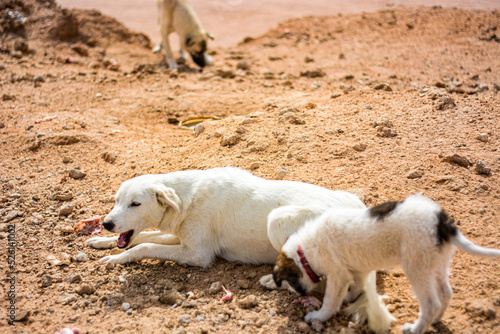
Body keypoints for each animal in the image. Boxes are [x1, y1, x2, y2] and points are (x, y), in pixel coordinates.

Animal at [88, 168, 394, 332]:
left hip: (279, 221)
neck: (186, 198)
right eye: (117, 200)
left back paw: (274, 281)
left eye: (135, 204)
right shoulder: (181, 237)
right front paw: (99, 242)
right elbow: (142, 237)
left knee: (329, 284)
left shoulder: (197, 254)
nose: (106, 223)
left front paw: (116, 258)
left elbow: (143, 245)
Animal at [274, 194, 500, 332]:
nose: (296, 294)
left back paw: (415, 329)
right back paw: (436, 320)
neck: (305, 252)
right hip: (437, 263)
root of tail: (442, 223)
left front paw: (318, 316)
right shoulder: (358, 271)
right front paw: (350, 298)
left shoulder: (338, 276)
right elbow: (356, 288)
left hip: (416, 268)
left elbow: (330, 301)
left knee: (430, 303)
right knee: (446, 293)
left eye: (291, 281)